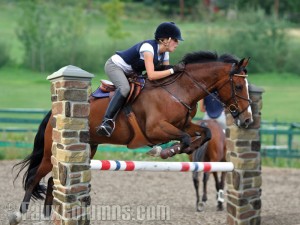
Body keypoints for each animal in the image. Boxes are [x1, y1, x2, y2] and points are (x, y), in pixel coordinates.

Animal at [11, 50, 252, 223]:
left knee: (53, 179)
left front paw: (173, 149)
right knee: (34, 178)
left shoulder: (184, 124)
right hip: (50, 151)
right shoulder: (155, 129)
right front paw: (167, 150)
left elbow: (205, 133)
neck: (179, 91)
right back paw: (18, 215)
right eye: (239, 85)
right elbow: (183, 138)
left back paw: (46, 215)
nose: (247, 119)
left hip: (90, 147)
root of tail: (53, 113)